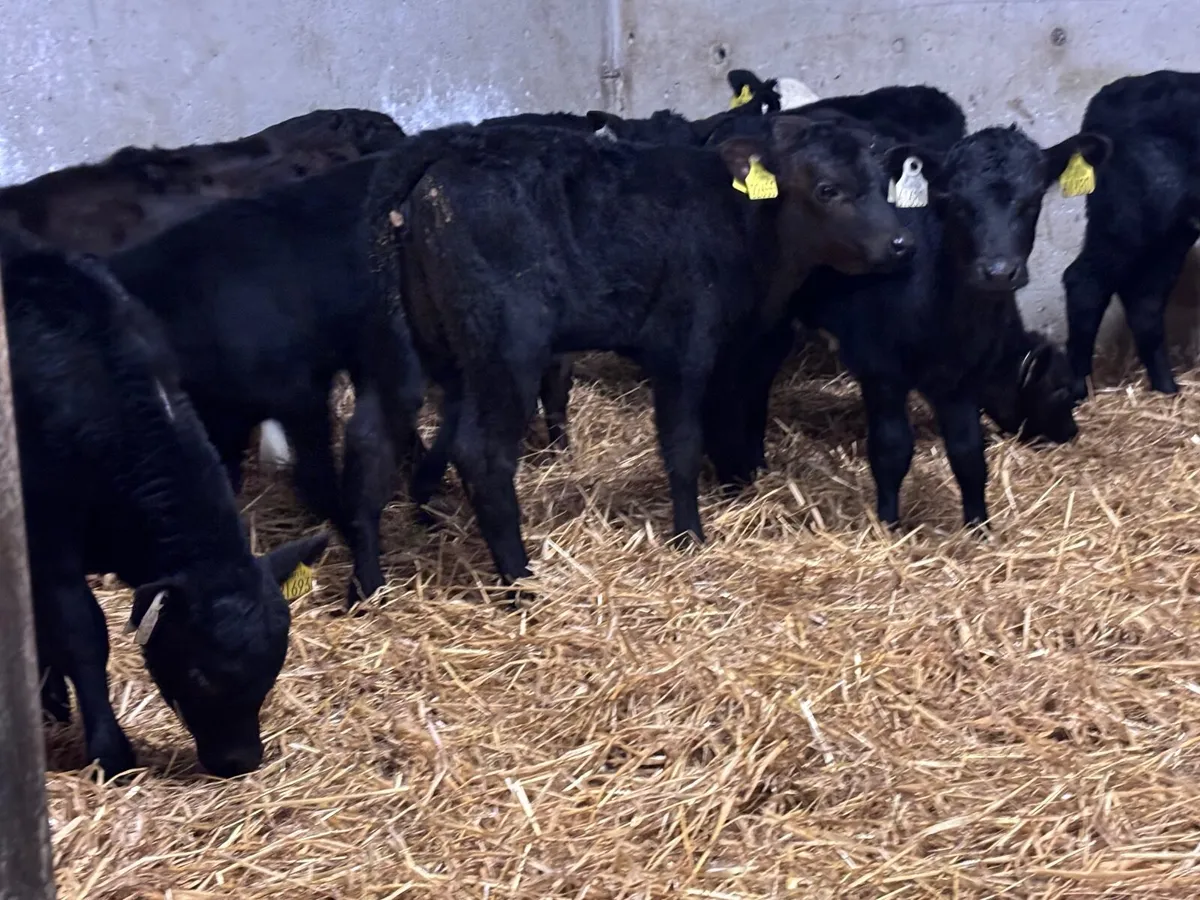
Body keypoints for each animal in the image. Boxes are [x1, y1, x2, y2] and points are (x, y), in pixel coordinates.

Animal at [2, 224, 328, 779]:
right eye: (198, 675)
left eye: (274, 665)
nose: (240, 760)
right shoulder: (48, 538)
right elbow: (82, 631)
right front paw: (108, 748)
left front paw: (50, 699)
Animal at [365, 117, 923, 584]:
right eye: (828, 189)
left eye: (884, 185)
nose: (901, 243)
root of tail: (439, 164)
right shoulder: (684, 347)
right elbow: (683, 444)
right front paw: (690, 536)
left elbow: (729, 428)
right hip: (507, 350)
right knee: (482, 454)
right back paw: (519, 581)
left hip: (438, 351)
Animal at [713, 125, 1108, 529]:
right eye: (955, 203)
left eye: (1032, 202)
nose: (998, 271)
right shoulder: (880, 370)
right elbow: (891, 449)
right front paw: (889, 525)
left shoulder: (960, 378)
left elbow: (968, 454)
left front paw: (979, 528)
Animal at [1064, 70, 1200, 399]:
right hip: (1128, 216)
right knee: (1085, 283)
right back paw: (1079, 390)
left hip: (1172, 230)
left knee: (1144, 300)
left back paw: (1167, 390)